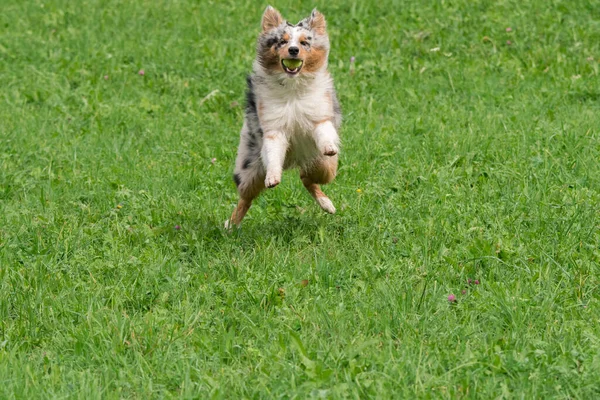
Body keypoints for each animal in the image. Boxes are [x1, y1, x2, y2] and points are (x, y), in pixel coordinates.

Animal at [227, 5, 342, 228]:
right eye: (282, 41)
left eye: (305, 42)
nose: (293, 50)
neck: (292, 88)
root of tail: (293, 160)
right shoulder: (274, 129)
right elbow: (273, 153)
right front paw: (273, 176)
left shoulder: (319, 114)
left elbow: (322, 130)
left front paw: (328, 146)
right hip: (250, 168)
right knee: (246, 197)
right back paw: (231, 225)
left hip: (324, 166)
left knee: (306, 178)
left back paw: (327, 204)